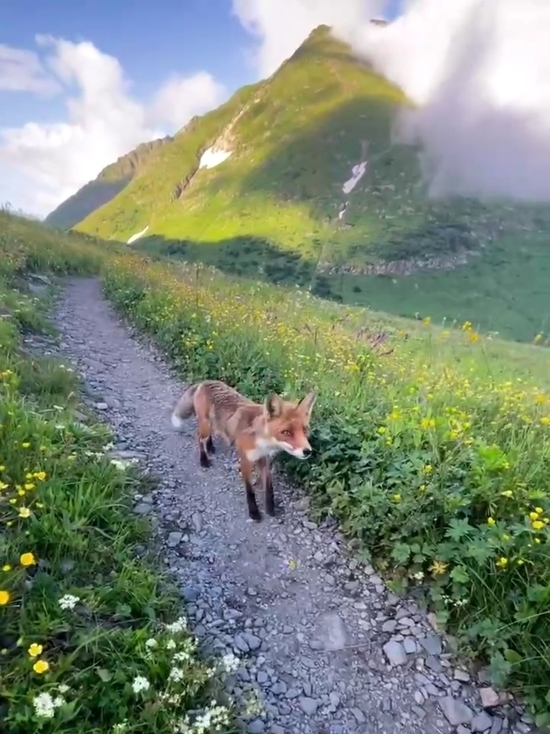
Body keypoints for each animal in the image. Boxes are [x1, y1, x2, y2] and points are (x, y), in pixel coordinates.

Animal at [172, 380, 320, 524]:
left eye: (305, 430)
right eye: (286, 432)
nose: (307, 451)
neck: (262, 442)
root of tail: (204, 382)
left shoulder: (264, 459)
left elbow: (269, 487)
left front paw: (270, 508)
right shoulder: (245, 460)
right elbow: (250, 491)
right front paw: (254, 512)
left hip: (213, 424)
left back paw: (210, 446)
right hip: (205, 426)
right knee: (198, 437)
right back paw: (204, 459)